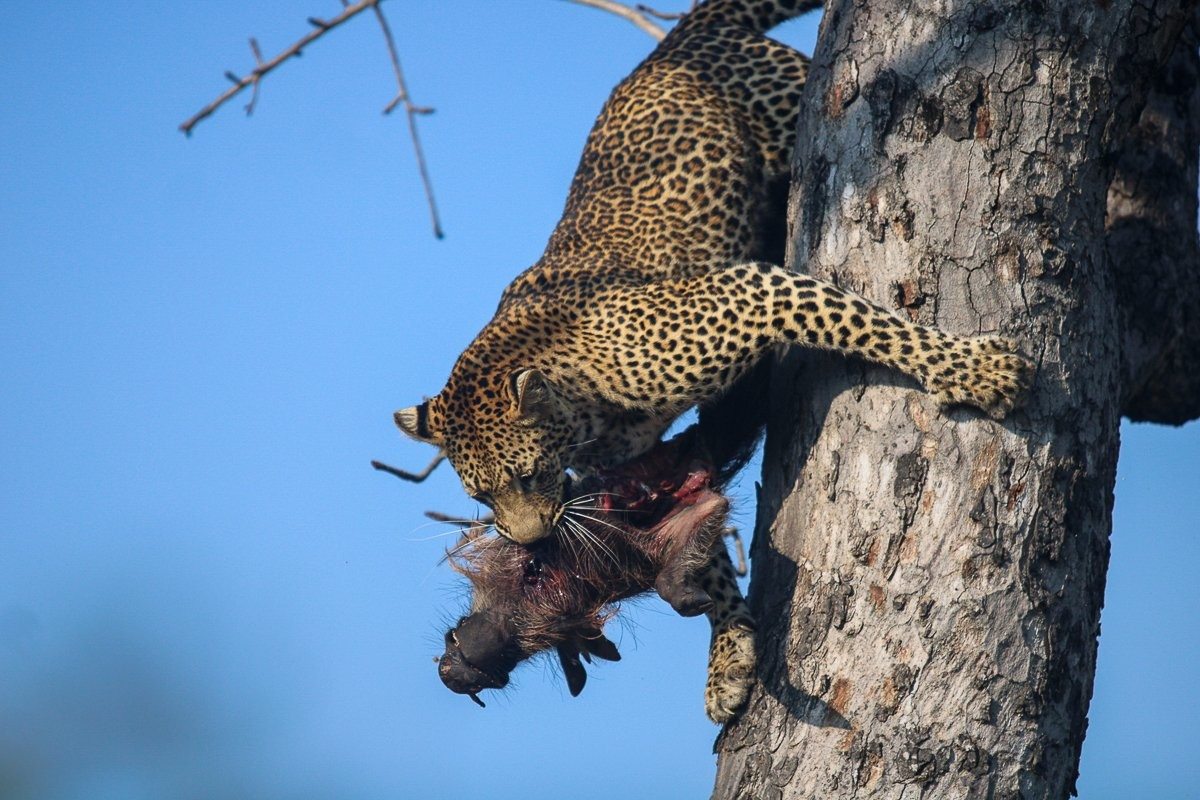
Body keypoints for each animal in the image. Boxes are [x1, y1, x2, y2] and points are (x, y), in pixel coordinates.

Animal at [391, 0, 1033, 722]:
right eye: (480, 495)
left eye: (527, 476)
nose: (529, 543)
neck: (581, 408)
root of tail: (678, 41)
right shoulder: (646, 457)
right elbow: (695, 519)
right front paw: (728, 653)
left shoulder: (743, 294)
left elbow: (864, 323)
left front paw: (976, 370)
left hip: (788, 108)